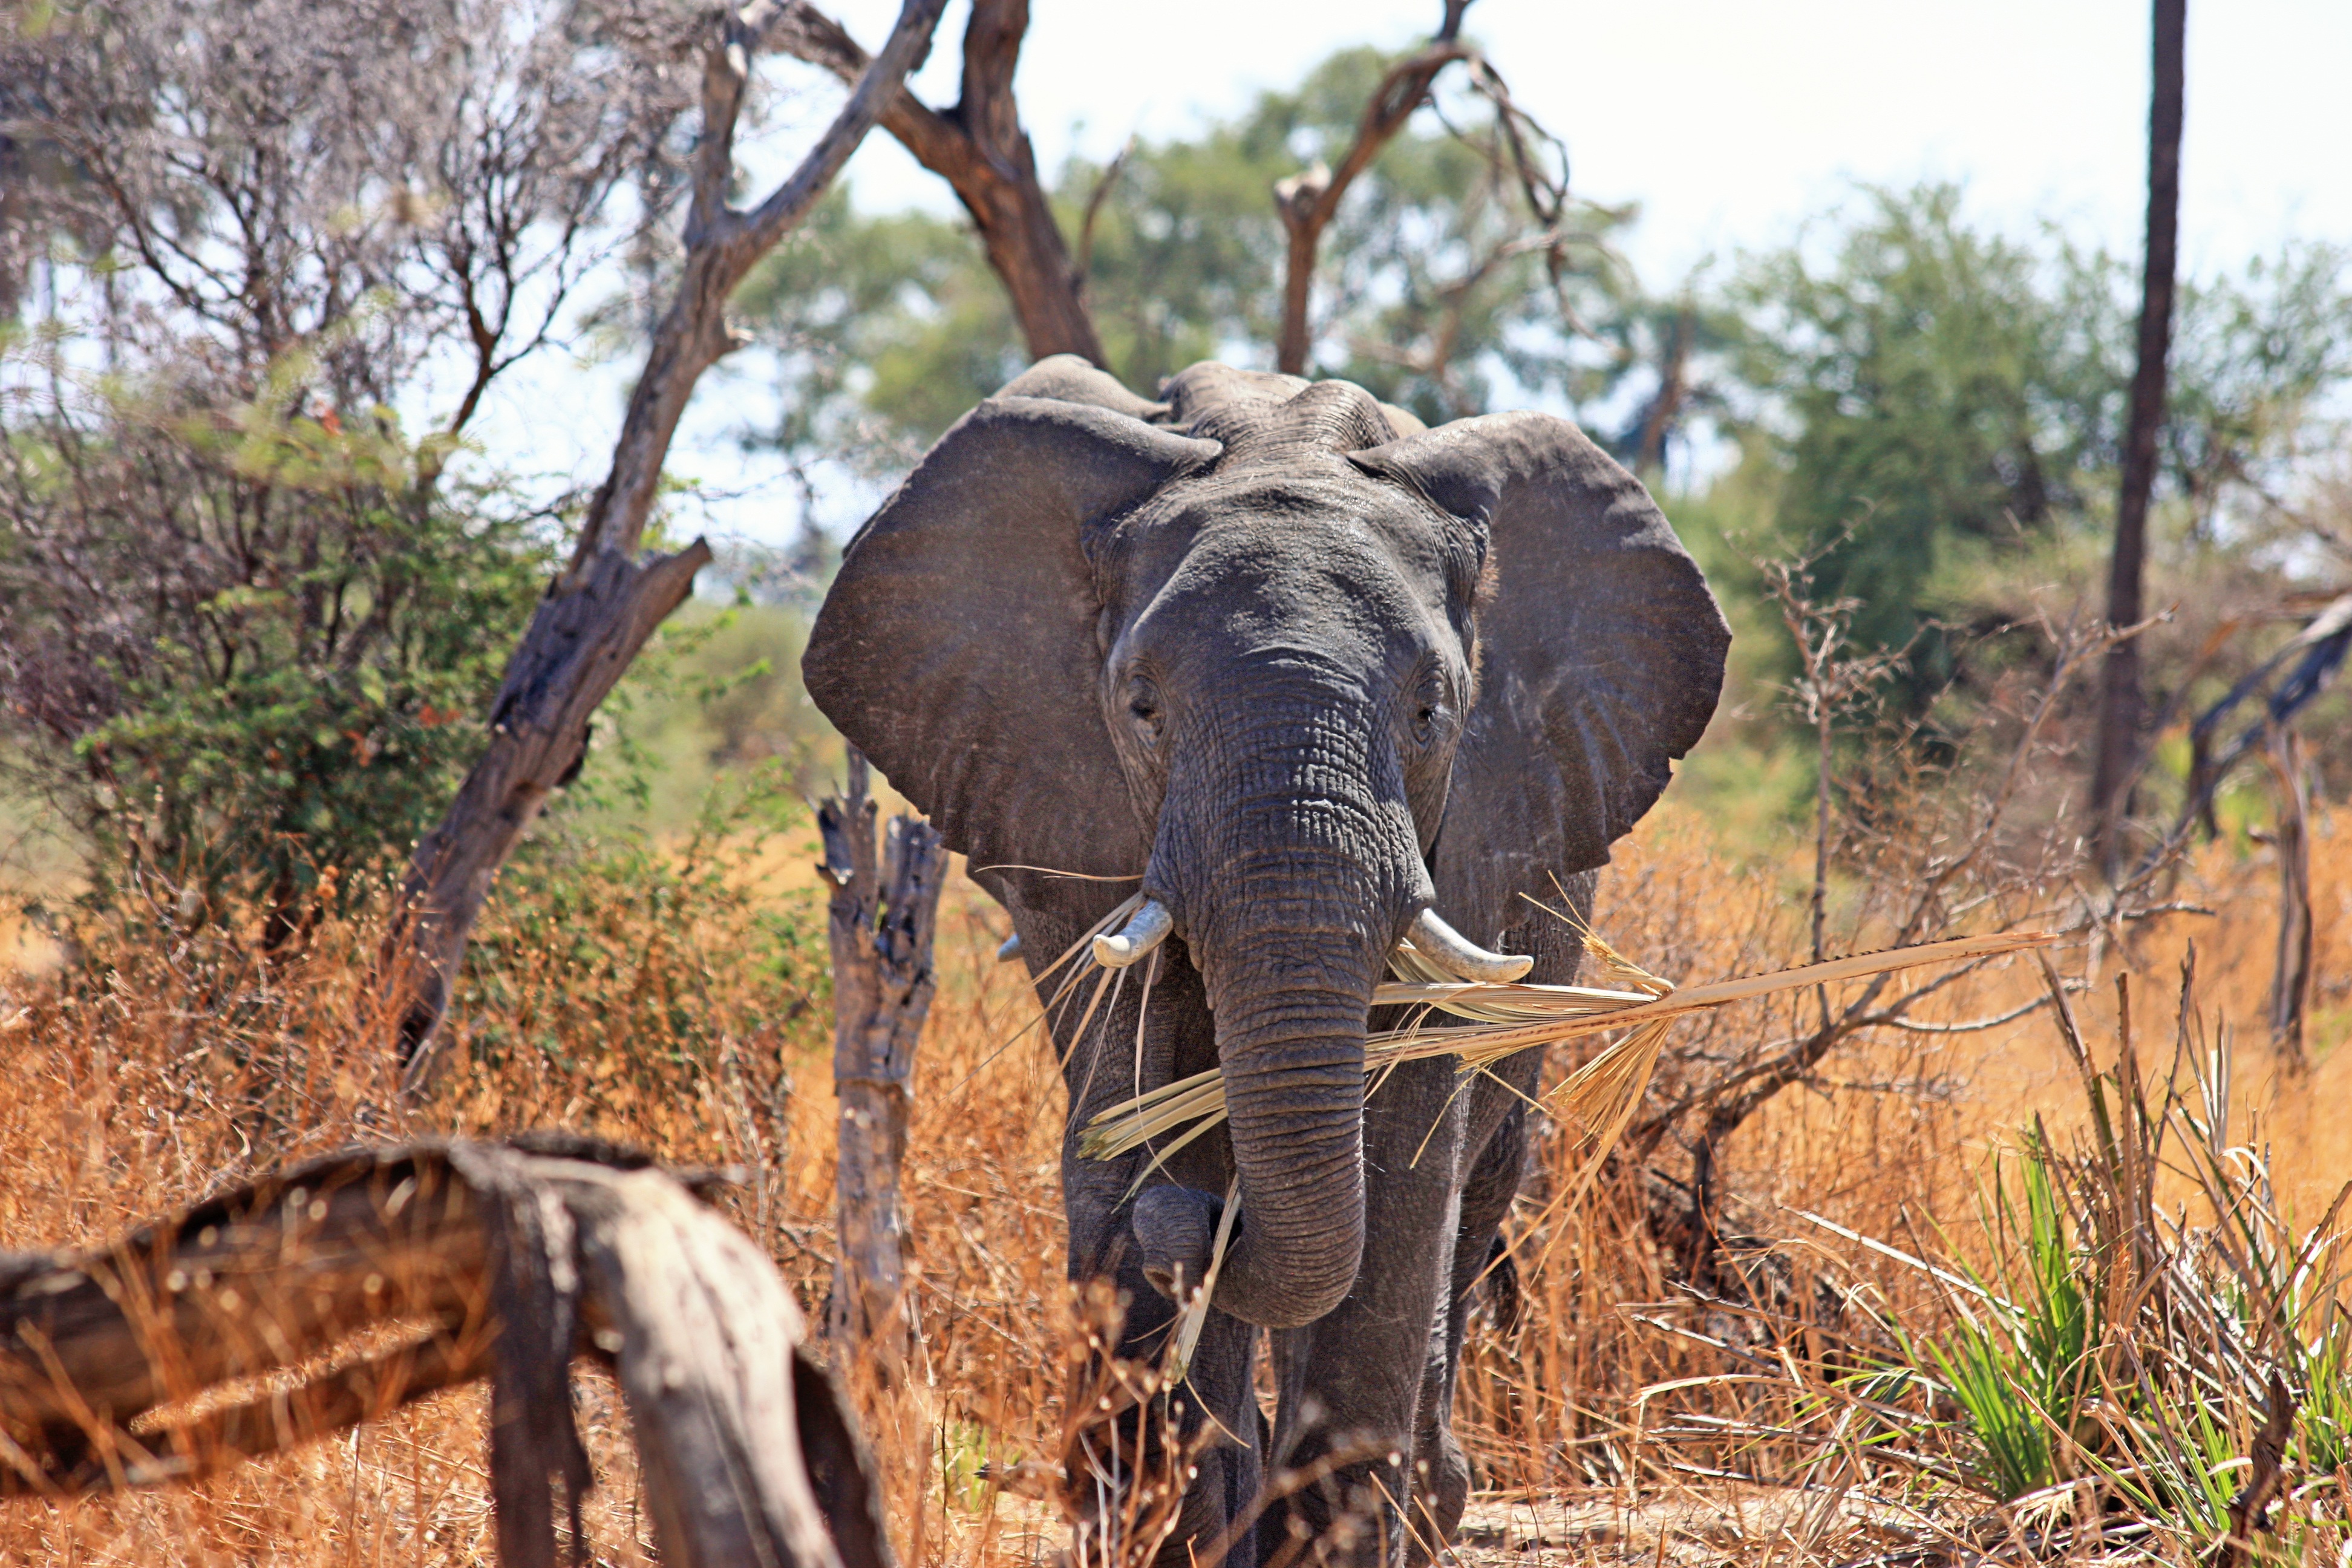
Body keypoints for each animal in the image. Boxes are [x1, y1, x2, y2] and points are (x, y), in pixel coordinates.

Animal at [809, 359, 1731, 1568]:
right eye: (1141, 706)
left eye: (1431, 709)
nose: (1204, 1225)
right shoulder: (1071, 813)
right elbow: (1132, 1108)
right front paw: (1176, 1517)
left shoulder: (1476, 831)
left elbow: (1398, 1162)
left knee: (1476, 1183)